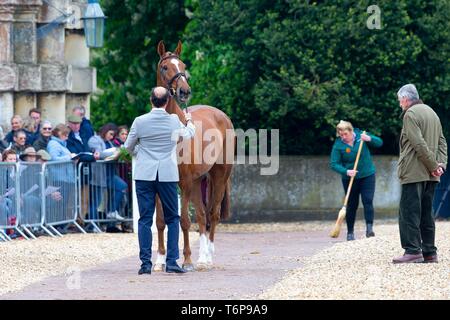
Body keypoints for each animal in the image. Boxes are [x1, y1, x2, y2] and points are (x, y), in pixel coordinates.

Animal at [153, 39, 234, 270]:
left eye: (183, 65)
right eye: (165, 67)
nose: (184, 91)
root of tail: (222, 116)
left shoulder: (185, 183)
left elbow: (184, 221)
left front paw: (187, 260)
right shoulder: (159, 182)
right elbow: (161, 222)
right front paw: (160, 261)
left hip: (219, 176)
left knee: (212, 215)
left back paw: (207, 258)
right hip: (200, 181)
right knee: (201, 214)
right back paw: (202, 257)